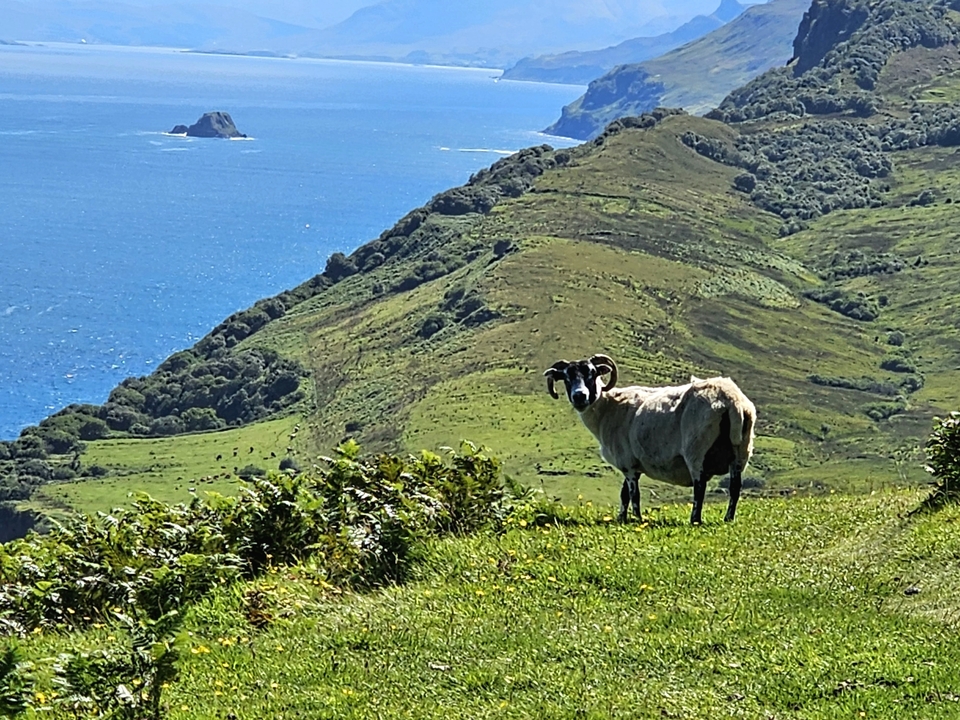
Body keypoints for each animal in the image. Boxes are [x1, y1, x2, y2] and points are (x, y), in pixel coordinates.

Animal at [543, 354, 756, 525]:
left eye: (592, 373)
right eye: (566, 377)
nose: (580, 396)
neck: (607, 407)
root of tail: (731, 400)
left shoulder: (628, 464)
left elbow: (633, 494)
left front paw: (637, 519)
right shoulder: (631, 464)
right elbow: (624, 494)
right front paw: (621, 518)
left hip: (696, 449)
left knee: (700, 486)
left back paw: (695, 520)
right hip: (741, 450)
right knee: (735, 487)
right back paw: (728, 518)